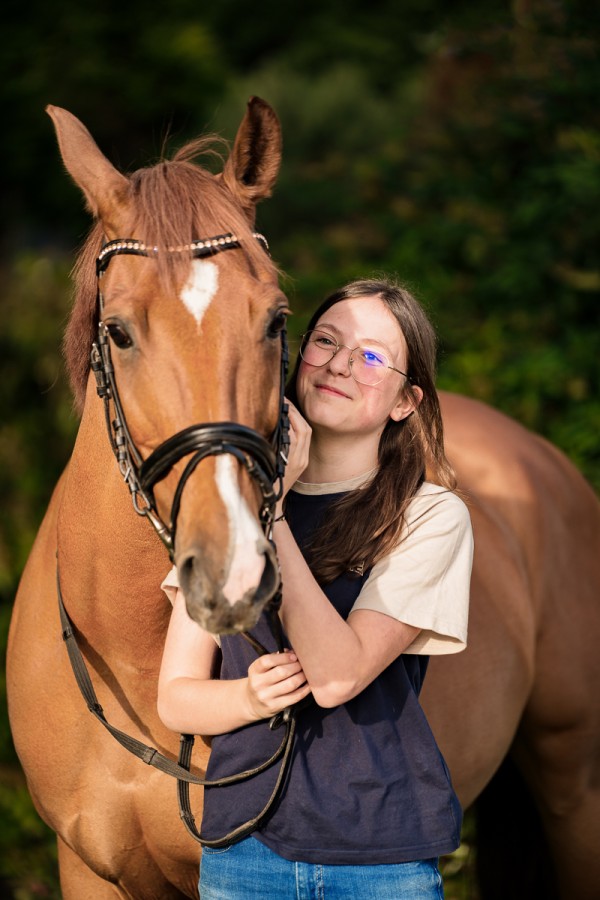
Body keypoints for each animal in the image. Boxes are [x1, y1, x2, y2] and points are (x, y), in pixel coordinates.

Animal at [5, 102, 600, 896]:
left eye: (276, 320)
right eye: (120, 332)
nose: (229, 573)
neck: (129, 658)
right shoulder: (87, 869)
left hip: (576, 787)